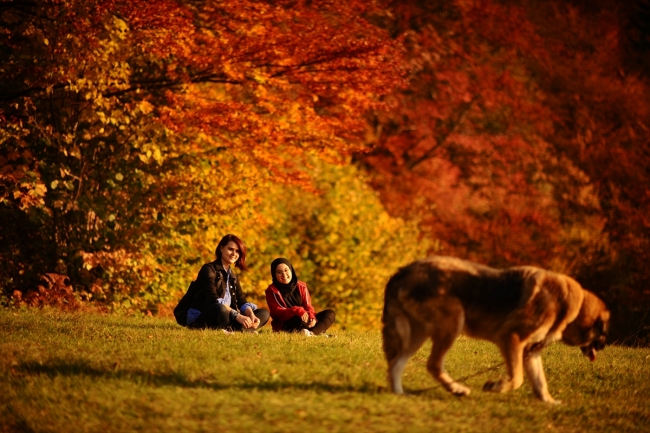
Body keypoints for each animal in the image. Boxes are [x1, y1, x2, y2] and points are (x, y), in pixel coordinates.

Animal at [380, 256, 608, 402]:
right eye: (603, 333)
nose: (604, 346)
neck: (571, 305)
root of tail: (403, 271)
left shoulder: (530, 353)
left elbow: (540, 382)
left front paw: (549, 402)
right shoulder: (511, 338)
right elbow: (517, 379)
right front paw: (497, 387)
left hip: (417, 335)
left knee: (395, 364)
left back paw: (400, 394)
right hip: (452, 323)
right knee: (432, 365)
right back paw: (456, 389)